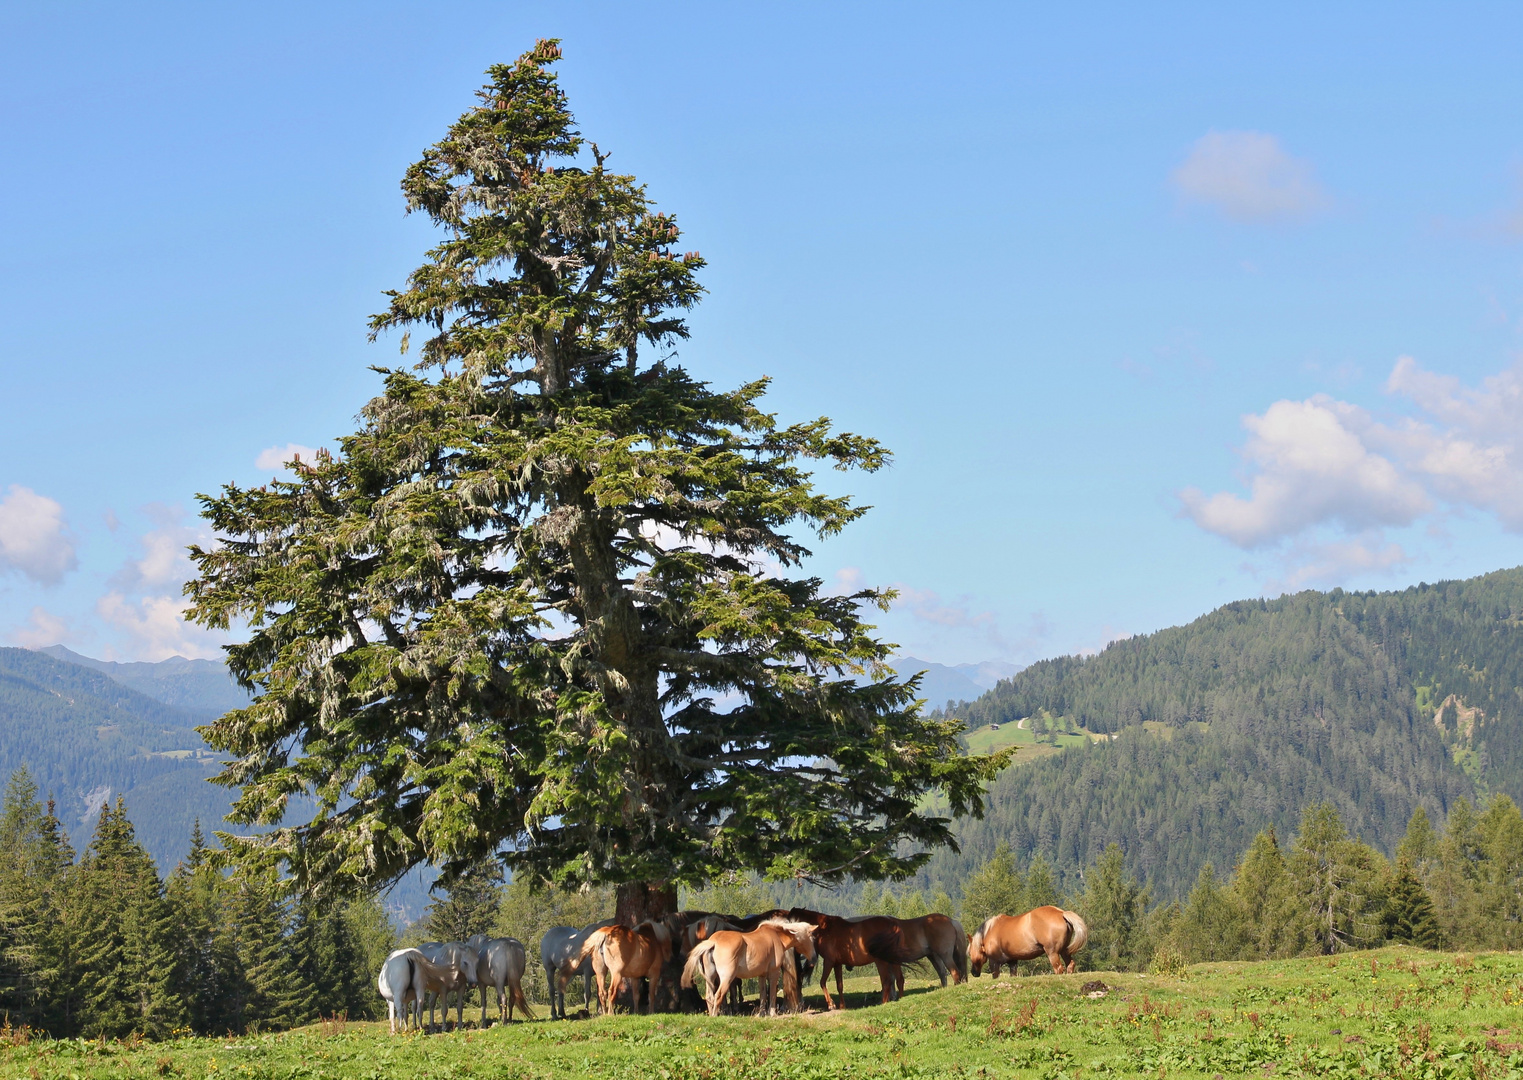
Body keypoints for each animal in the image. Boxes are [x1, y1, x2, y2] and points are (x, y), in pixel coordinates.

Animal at [682, 913, 816, 1017]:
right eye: (812, 938)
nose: (814, 958)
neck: (775, 936)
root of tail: (713, 942)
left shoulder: (762, 975)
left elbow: (763, 994)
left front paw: (762, 1013)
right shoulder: (774, 972)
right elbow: (772, 993)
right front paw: (772, 1013)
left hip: (710, 977)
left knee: (710, 997)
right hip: (726, 977)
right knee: (718, 995)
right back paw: (716, 1015)